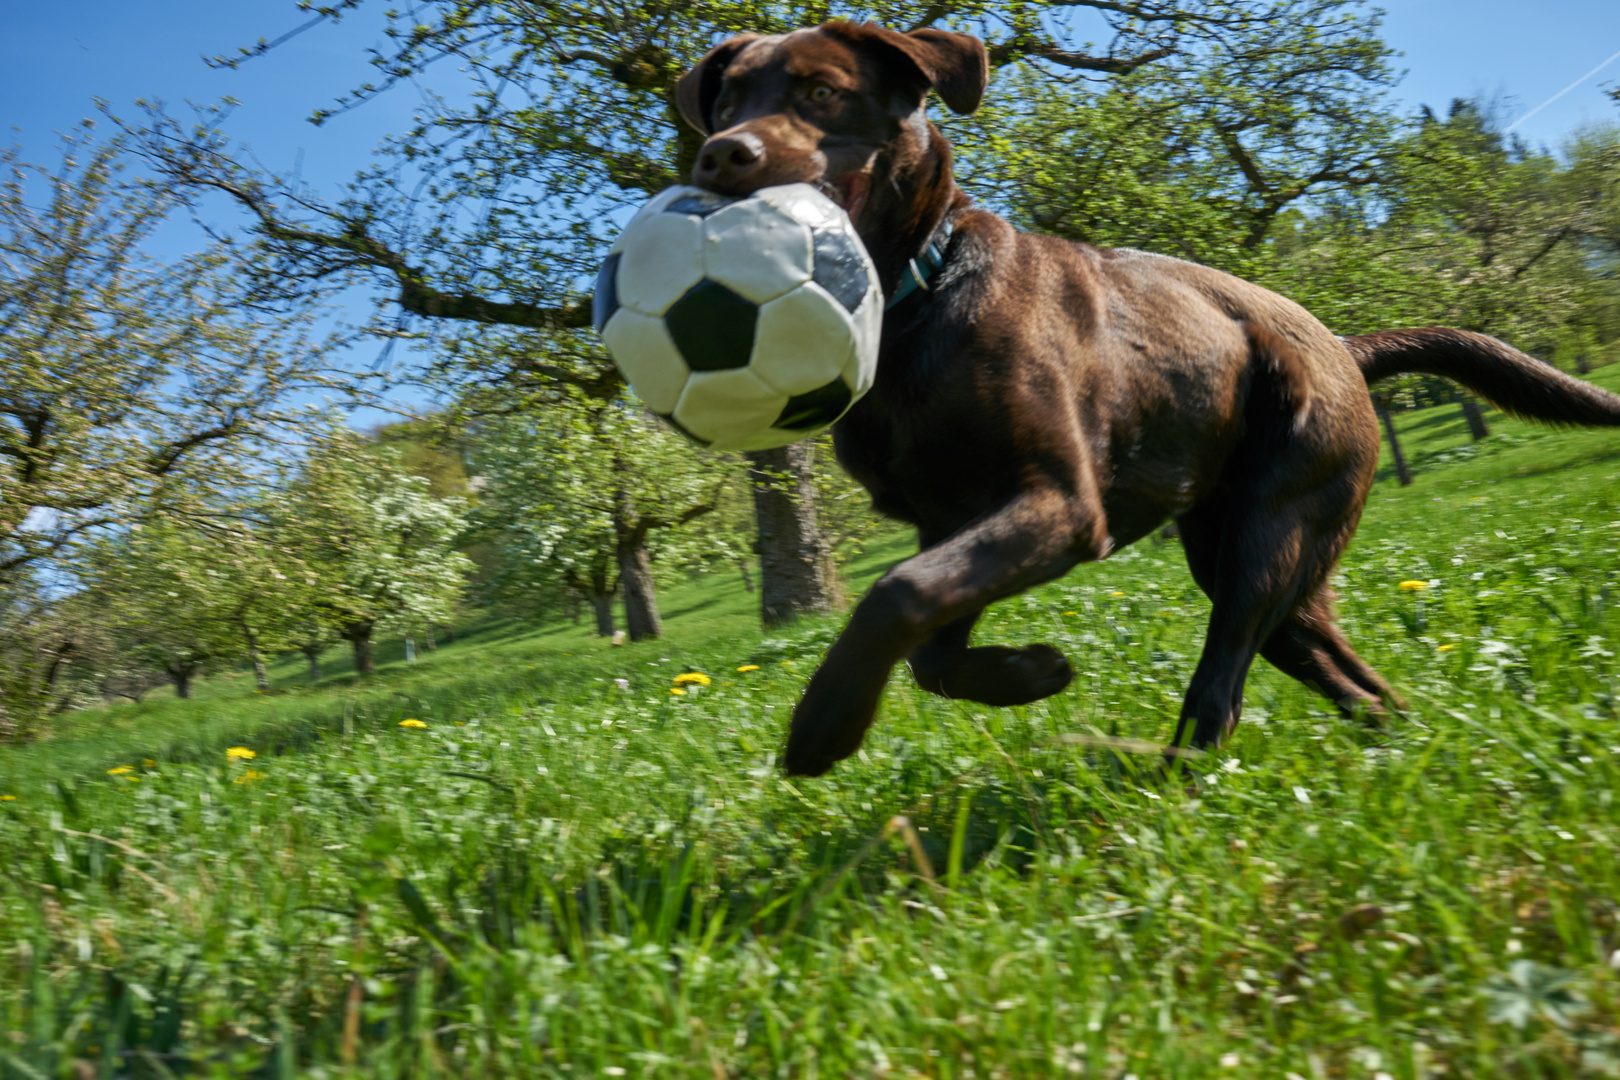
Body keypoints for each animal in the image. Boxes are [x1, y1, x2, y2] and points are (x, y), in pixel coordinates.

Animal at [673, 19, 1620, 777]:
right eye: (725, 107)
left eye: (821, 92)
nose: (722, 155)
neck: (919, 295)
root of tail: (1345, 346)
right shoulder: (951, 525)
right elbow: (928, 648)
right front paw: (1029, 675)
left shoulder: (1059, 505)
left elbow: (895, 595)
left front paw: (824, 727)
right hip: (1265, 564)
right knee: (1356, 682)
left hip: (1269, 538)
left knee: (1221, 685)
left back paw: (1170, 781)